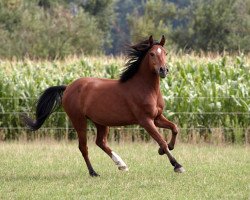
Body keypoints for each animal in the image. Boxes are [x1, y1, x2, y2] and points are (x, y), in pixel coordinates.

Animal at [22, 35, 186, 176]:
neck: (145, 88)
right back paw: (93, 172)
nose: (163, 70)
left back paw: (122, 165)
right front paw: (177, 165)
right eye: (152, 54)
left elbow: (175, 128)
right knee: (84, 147)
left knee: (100, 142)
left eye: (165, 52)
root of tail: (68, 87)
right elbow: (161, 140)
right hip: (79, 120)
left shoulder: (157, 117)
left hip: (101, 122)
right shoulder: (145, 120)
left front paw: (166, 149)